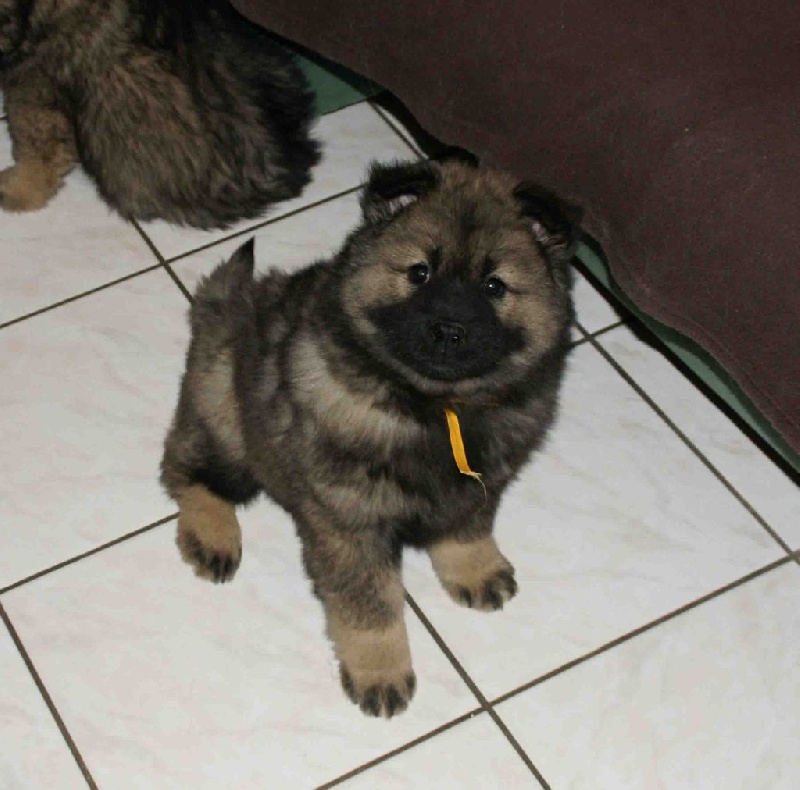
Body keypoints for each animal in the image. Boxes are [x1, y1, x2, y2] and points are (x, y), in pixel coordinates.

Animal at [161, 157, 581, 717]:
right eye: (419, 273)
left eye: (494, 286)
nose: (448, 331)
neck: (432, 406)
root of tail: (225, 306)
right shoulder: (349, 522)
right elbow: (371, 606)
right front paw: (381, 672)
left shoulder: (482, 481)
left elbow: (467, 527)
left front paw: (473, 569)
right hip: (224, 412)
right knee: (187, 470)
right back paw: (213, 536)